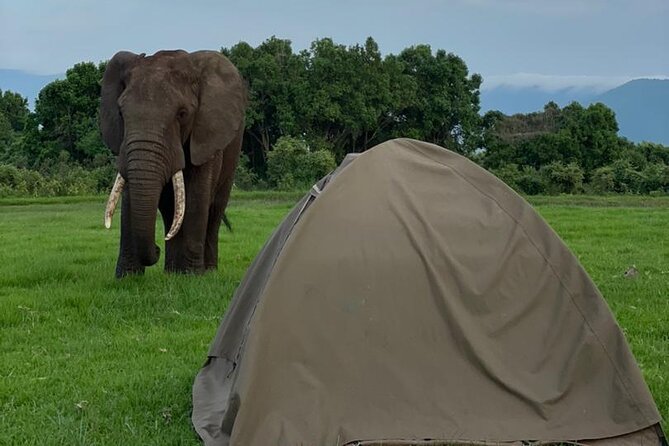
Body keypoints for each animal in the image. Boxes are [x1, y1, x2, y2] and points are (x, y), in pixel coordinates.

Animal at [100, 50, 246, 278]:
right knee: (171, 211)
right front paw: (127, 277)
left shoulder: (205, 135)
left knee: (214, 210)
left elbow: (196, 198)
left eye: (182, 114)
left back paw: (206, 272)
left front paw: (193, 277)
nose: (157, 248)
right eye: (121, 113)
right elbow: (129, 195)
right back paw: (172, 272)